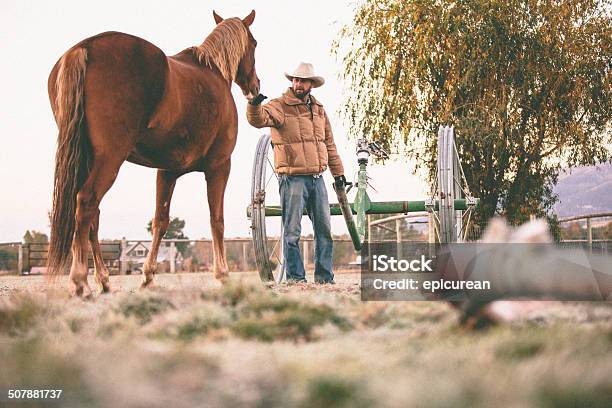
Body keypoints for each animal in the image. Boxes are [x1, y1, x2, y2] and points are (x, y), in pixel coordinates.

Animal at [46, 10, 260, 296]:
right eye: (254, 44)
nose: (255, 86)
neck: (212, 71)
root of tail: (84, 48)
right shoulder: (219, 166)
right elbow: (217, 220)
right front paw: (223, 274)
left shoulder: (166, 172)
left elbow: (160, 221)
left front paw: (148, 276)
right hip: (109, 159)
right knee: (87, 202)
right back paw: (80, 279)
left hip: (86, 160)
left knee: (92, 217)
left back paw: (103, 280)